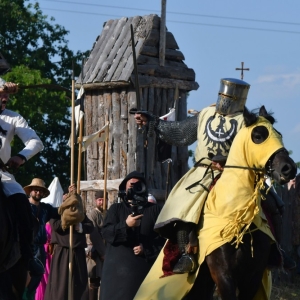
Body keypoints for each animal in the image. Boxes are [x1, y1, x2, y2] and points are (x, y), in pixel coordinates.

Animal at [188, 106, 298, 300]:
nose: (289, 169)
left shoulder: (253, 276)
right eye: (258, 136)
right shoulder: (223, 275)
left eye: (279, 134)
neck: (236, 216)